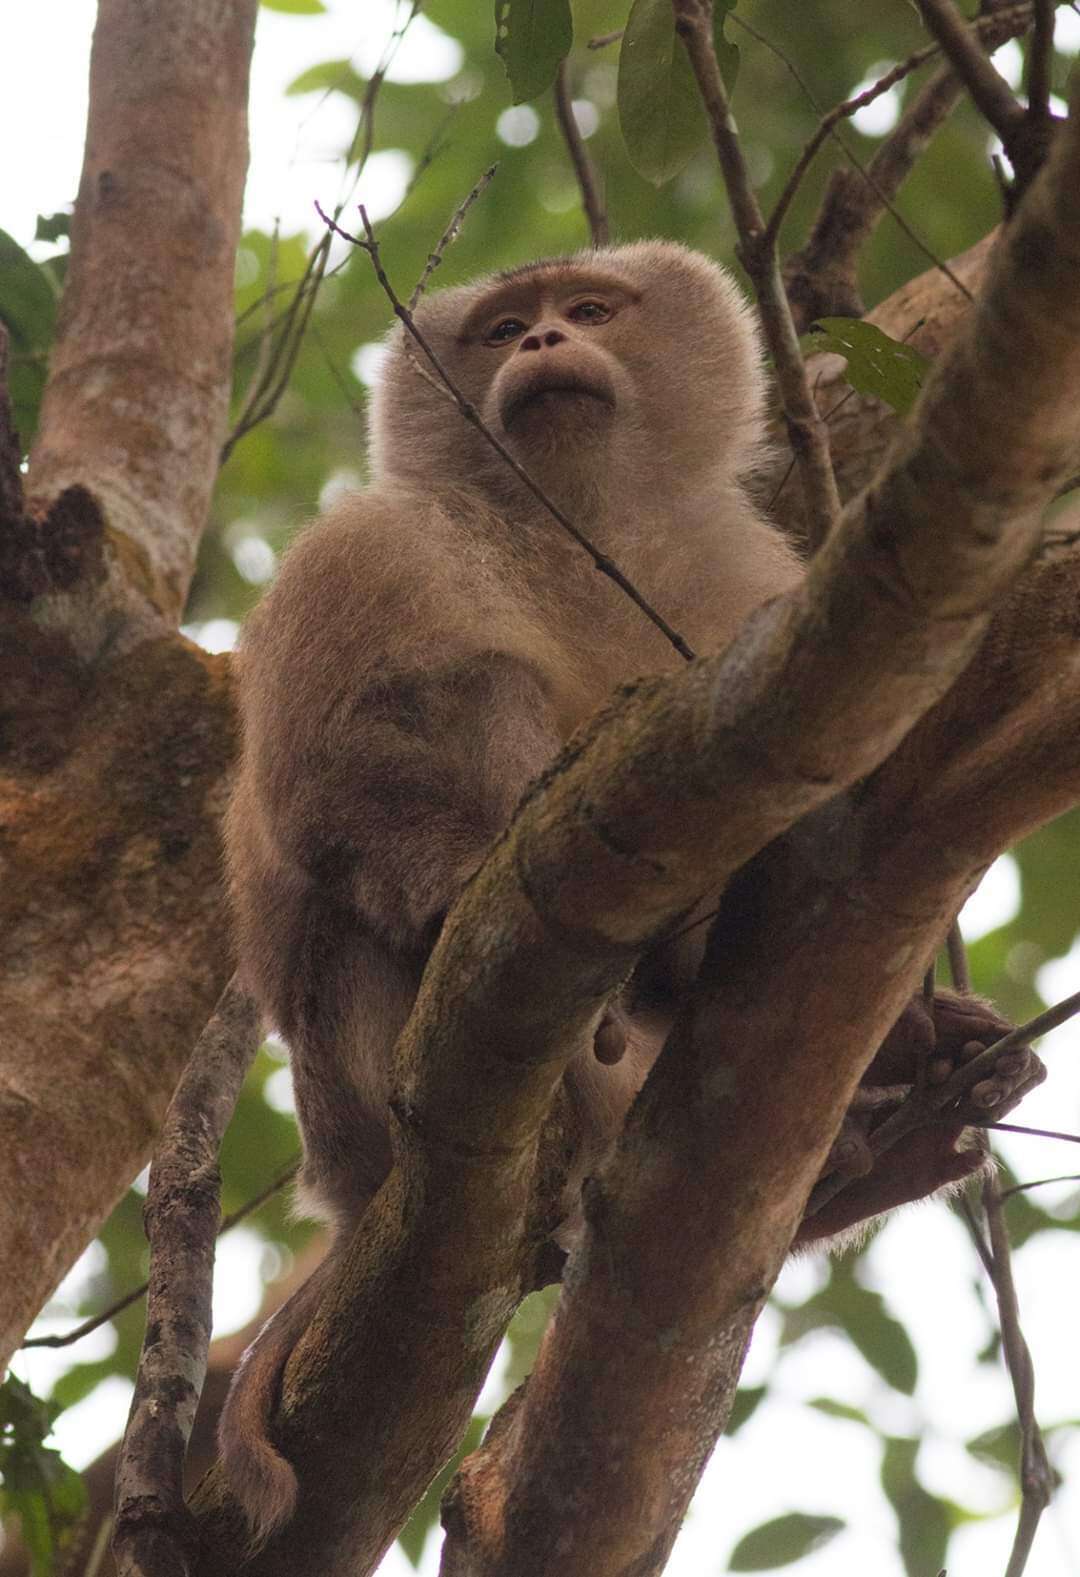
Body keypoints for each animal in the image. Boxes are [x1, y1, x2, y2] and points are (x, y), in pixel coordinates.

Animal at [220, 242, 1046, 1539]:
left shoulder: (749, 574)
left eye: (588, 309)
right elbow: (338, 764)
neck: (579, 526)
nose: (542, 344)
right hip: (356, 1069)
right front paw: (453, 891)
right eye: (502, 326)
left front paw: (907, 1033)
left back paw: (881, 1131)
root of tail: (348, 1186)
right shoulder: (369, 545)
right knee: (471, 696)